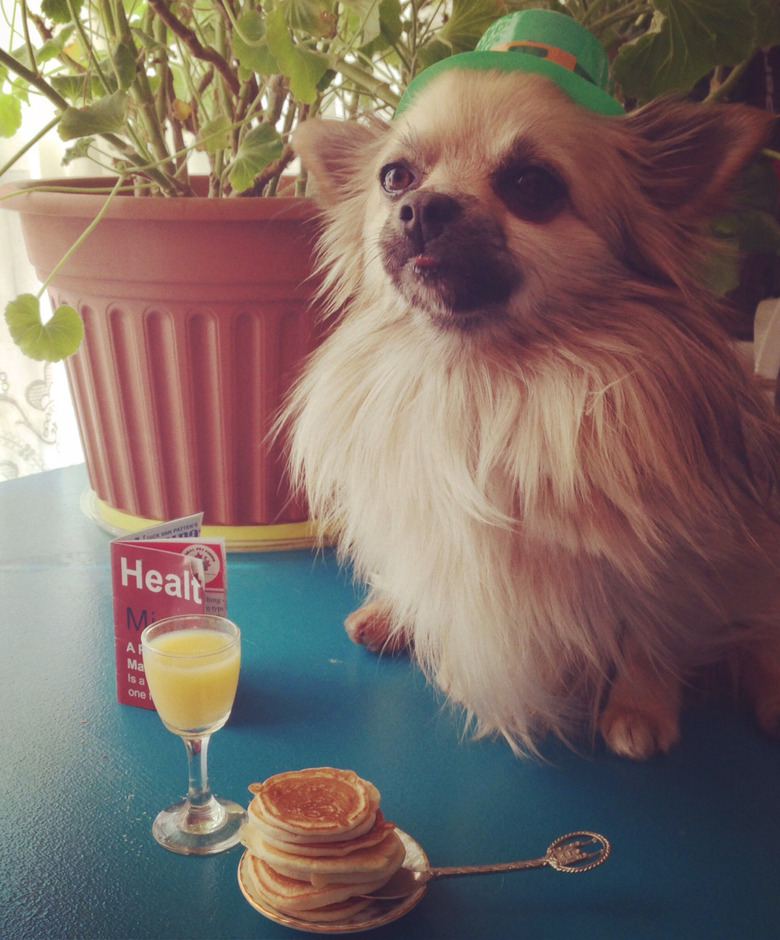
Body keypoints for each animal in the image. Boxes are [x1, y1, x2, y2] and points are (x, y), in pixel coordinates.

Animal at [284, 12, 780, 756]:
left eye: (532, 185)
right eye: (395, 177)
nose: (421, 208)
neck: (486, 382)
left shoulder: (673, 557)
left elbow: (653, 631)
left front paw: (640, 706)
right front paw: (405, 612)